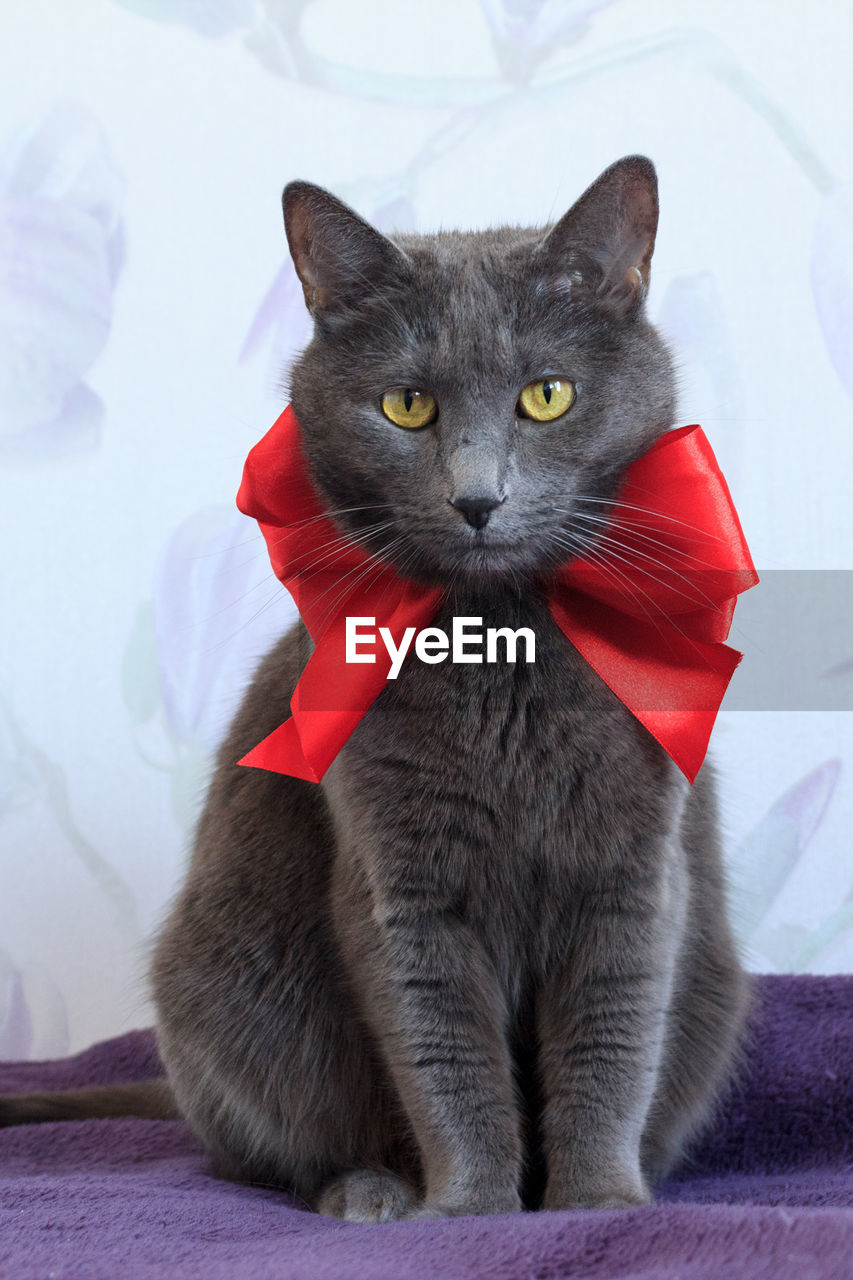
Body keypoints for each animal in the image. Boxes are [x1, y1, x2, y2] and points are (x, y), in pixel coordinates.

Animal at [0, 157, 742, 1218]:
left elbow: (612, 1040)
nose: (477, 497)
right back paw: (369, 1192)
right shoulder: (403, 884)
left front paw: (597, 1201)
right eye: (406, 407)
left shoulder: (631, 875)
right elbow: (445, 1054)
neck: (496, 650)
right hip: (225, 996)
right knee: (277, 1148)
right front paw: (469, 1210)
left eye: (547, 396)